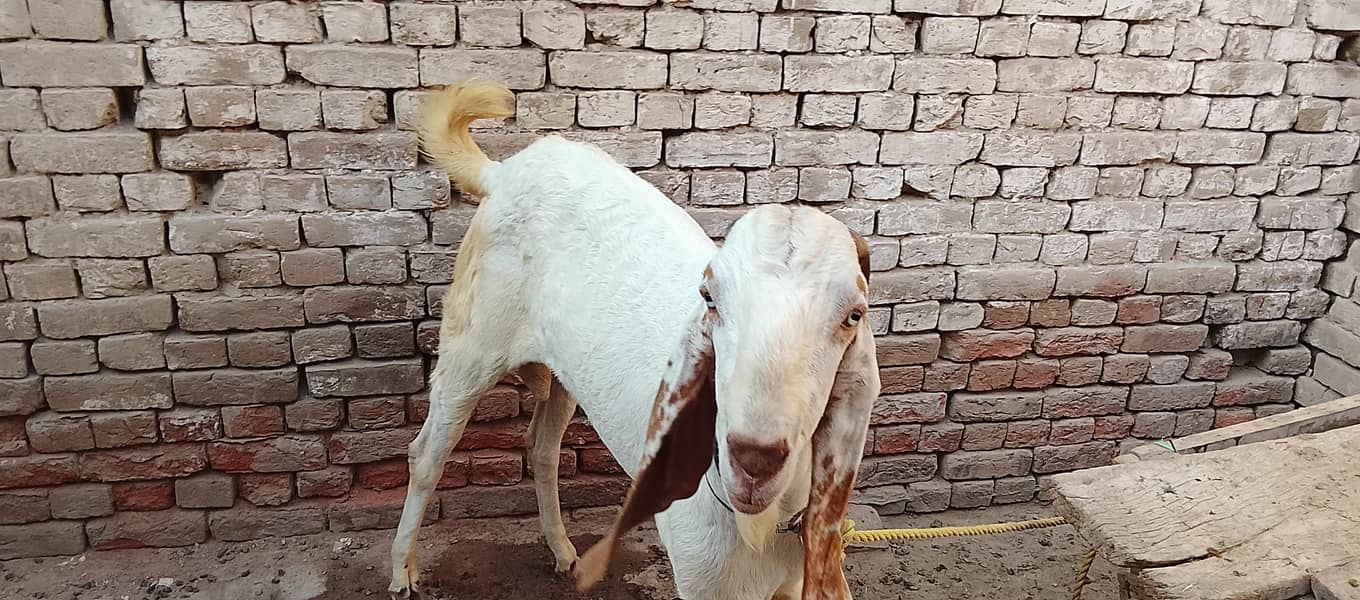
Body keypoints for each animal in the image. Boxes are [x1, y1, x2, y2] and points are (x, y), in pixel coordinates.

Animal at [387, 80, 881, 600]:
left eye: (853, 315)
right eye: (710, 298)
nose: (753, 458)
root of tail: (503, 172)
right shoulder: (701, 577)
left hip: (567, 371)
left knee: (541, 448)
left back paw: (562, 552)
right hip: (472, 343)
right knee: (427, 453)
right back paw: (402, 572)